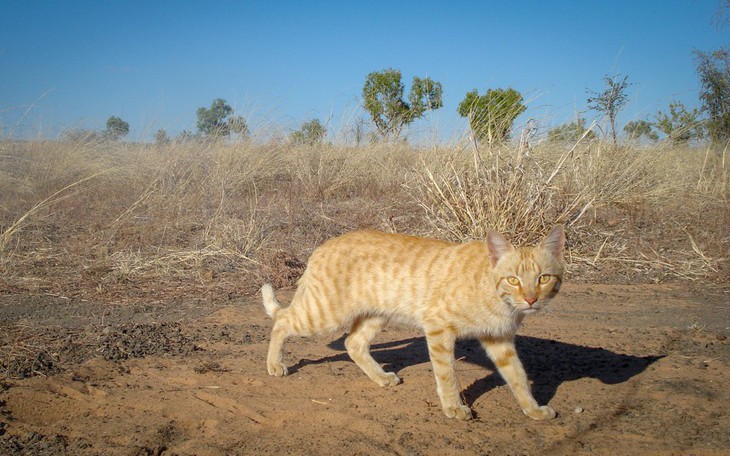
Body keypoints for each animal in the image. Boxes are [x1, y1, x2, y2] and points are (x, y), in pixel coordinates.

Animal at [260, 226, 564, 422]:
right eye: (513, 279)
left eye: (544, 278)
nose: (531, 299)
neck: (496, 295)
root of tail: (322, 245)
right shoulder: (438, 327)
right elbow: (447, 375)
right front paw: (454, 408)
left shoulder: (500, 340)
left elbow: (518, 377)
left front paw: (534, 410)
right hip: (324, 313)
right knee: (282, 321)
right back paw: (275, 365)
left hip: (375, 315)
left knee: (352, 343)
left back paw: (381, 377)